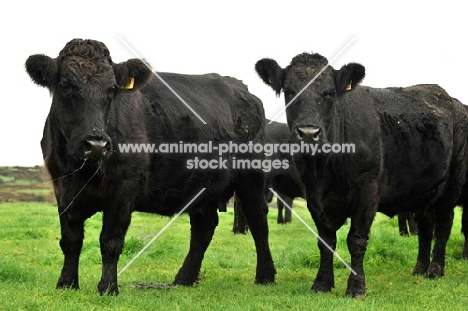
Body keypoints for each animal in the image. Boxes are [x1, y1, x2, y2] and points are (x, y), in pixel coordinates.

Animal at [24, 38, 274, 294]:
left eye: (111, 89)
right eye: (65, 85)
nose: (95, 145)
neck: (82, 171)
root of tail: (242, 88)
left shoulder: (123, 190)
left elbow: (110, 241)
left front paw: (108, 287)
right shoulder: (62, 188)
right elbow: (71, 240)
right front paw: (66, 283)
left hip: (251, 176)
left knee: (258, 220)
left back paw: (265, 276)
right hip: (201, 185)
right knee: (204, 226)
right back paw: (184, 278)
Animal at [256, 53, 468, 298]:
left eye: (330, 92)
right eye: (289, 91)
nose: (308, 134)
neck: (325, 170)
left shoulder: (367, 189)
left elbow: (356, 239)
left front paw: (356, 287)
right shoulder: (313, 195)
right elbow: (325, 241)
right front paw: (322, 284)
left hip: (450, 188)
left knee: (443, 226)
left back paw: (435, 270)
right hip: (424, 191)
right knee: (425, 228)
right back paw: (420, 269)